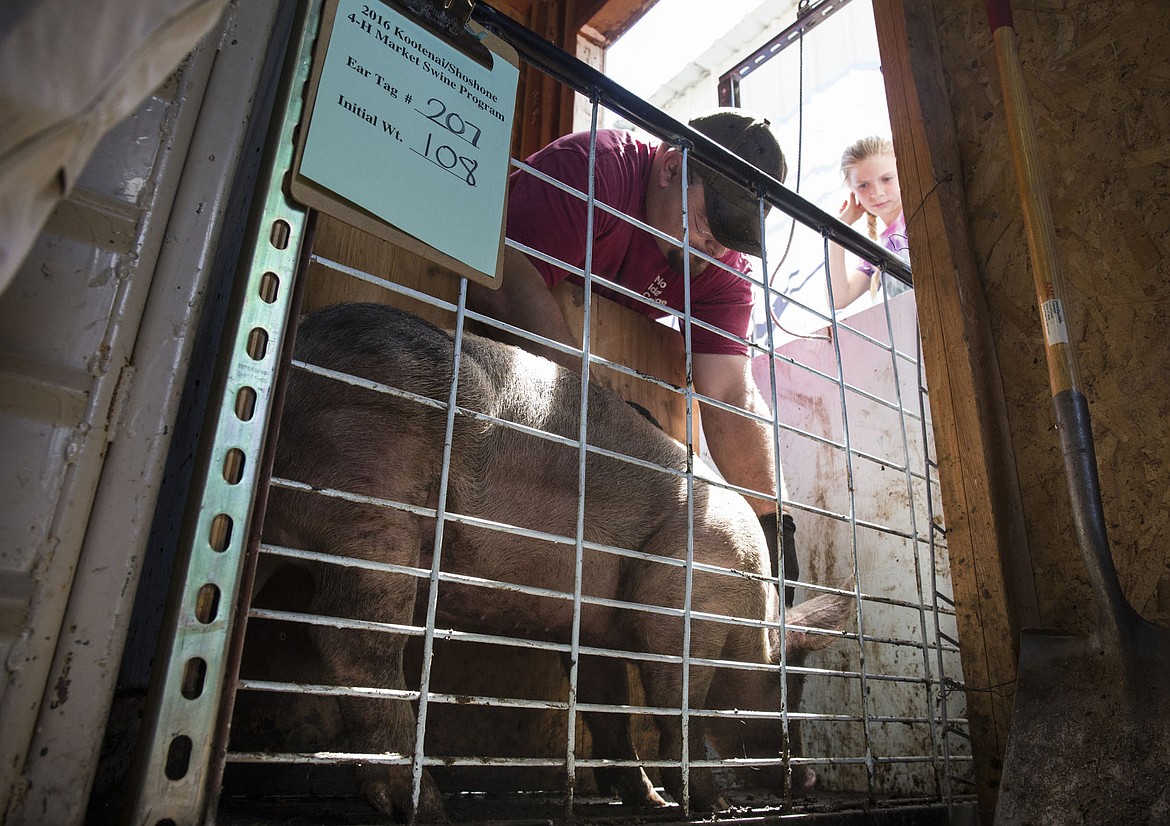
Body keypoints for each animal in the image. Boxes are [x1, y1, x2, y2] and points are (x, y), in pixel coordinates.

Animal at [260, 301, 851, 818]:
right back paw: (427, 807)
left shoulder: (593, 629)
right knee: (352, 640)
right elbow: (675, 708)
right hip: (373, 495)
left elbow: (605, 705)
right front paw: (710, 805)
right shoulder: (687, 601)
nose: (809, 778)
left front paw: (648, 801)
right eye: (790, 688)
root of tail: (299, 346)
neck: (750, 623)